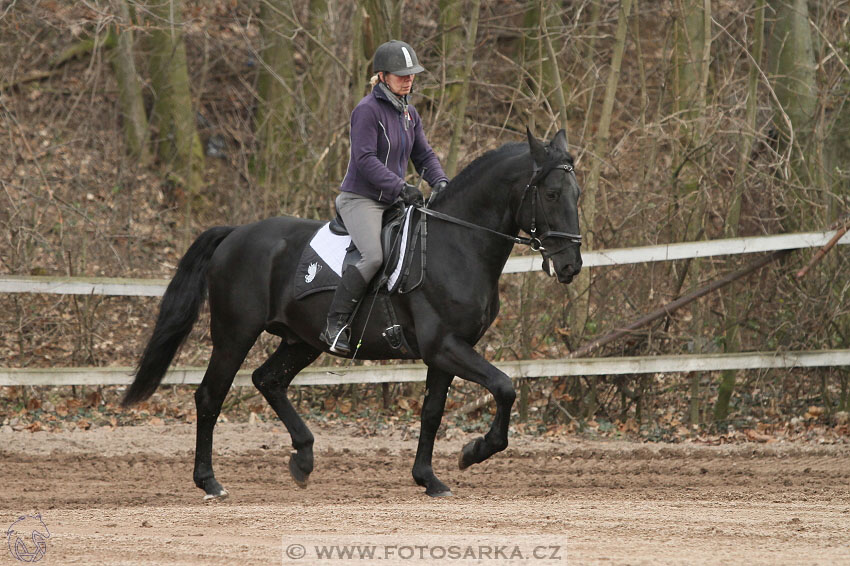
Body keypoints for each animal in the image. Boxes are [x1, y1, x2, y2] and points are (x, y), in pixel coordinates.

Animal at [121, 129, 584, 502]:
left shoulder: (447, 351)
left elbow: (432, 412)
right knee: (210, 397)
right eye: (551, 194)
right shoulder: (445, 347)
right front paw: (474, 452)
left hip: (302, 340)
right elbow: (504, 387)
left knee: (268, 380)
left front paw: (429, 479)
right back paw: (209, 482)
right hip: (235, 335)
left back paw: (303, 458)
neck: (457, 244)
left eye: (577, 195)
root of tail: (235, 233)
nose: (570, 265)